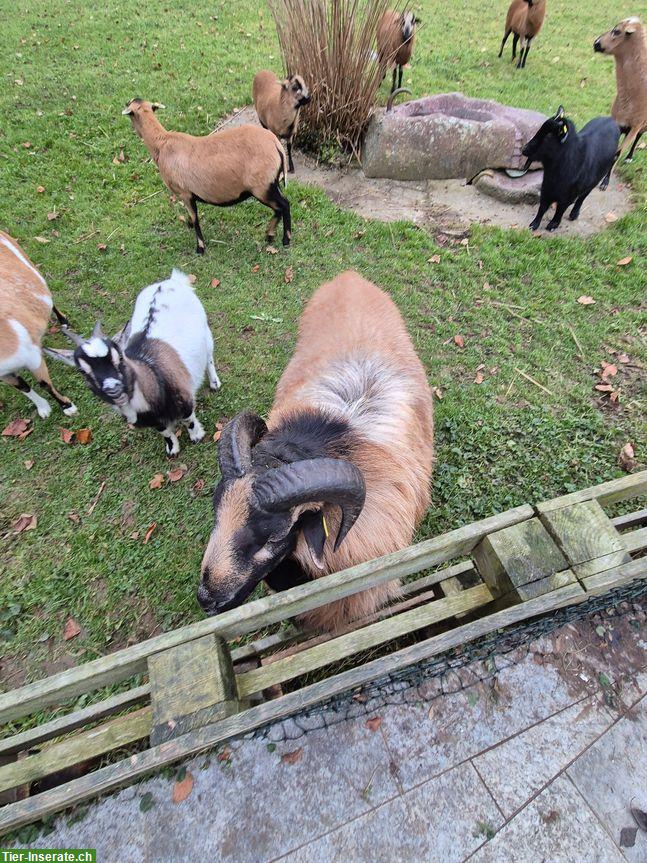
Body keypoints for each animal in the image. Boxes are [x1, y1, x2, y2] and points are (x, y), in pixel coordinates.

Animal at [0, 230, 77, 418]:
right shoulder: (3, 373)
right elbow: (23, 386)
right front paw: (43, 409)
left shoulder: (31, 356)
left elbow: (44, 383)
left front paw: (68, 406)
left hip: (30, 265)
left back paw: (64, 323)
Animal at [121, 99, 292, 253]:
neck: (162, 143)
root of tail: (276, 145)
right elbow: (192, 218)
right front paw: (189, 225)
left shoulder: (185, 193)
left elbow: (195, 218)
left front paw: (200, 248)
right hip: (272, 183)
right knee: (280, 206)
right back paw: (270, 235)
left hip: (261, 187)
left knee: (284, 205)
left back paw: (285, 239)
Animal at [596, 16, 647, 162]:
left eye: (617, 31)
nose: (596, 43)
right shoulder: (617, 122)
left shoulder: (636, 126)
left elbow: (616, 154)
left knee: (638, 137)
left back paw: (629, 157)